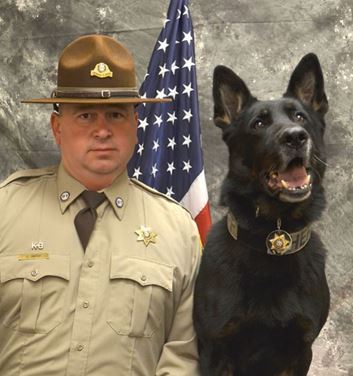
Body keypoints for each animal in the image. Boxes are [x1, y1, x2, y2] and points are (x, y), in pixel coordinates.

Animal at [194, 53, 328, 376]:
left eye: (300, 117)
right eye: (258, 123)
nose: (295, 138)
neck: (273, 236)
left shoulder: (300, 351)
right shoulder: (215, 350)